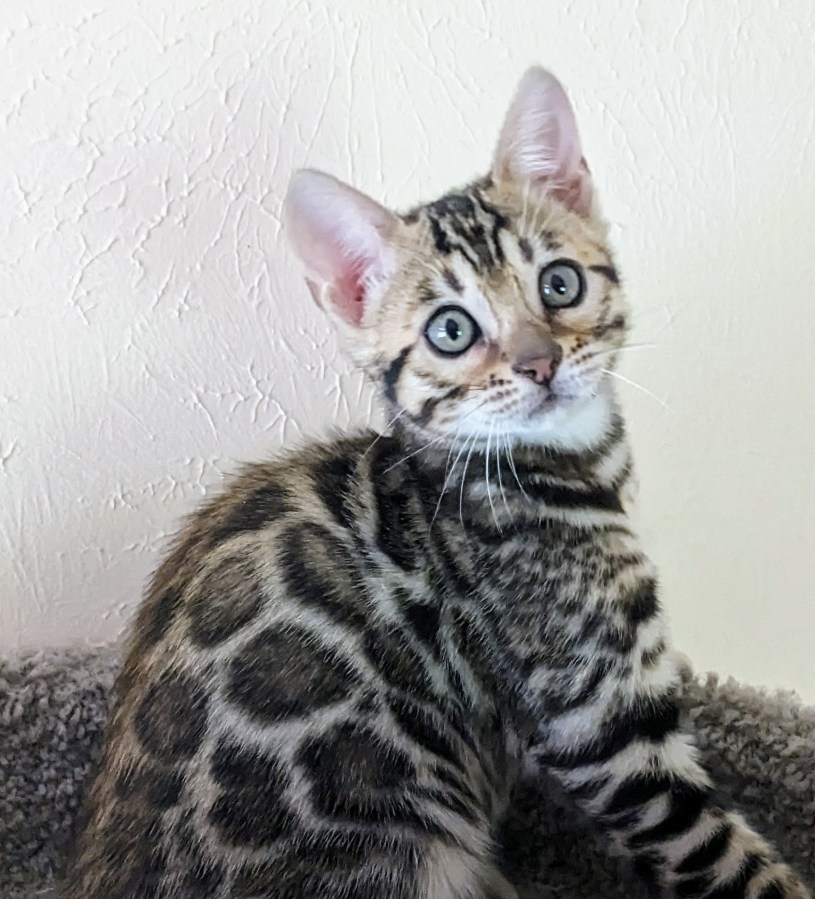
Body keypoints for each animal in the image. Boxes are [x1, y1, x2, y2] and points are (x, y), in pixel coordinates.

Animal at [62, 67, 810, 899]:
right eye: (451, 330)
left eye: (559, 283)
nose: (538, 362)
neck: (570, 468)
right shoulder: (600, 722)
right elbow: (725, 855)